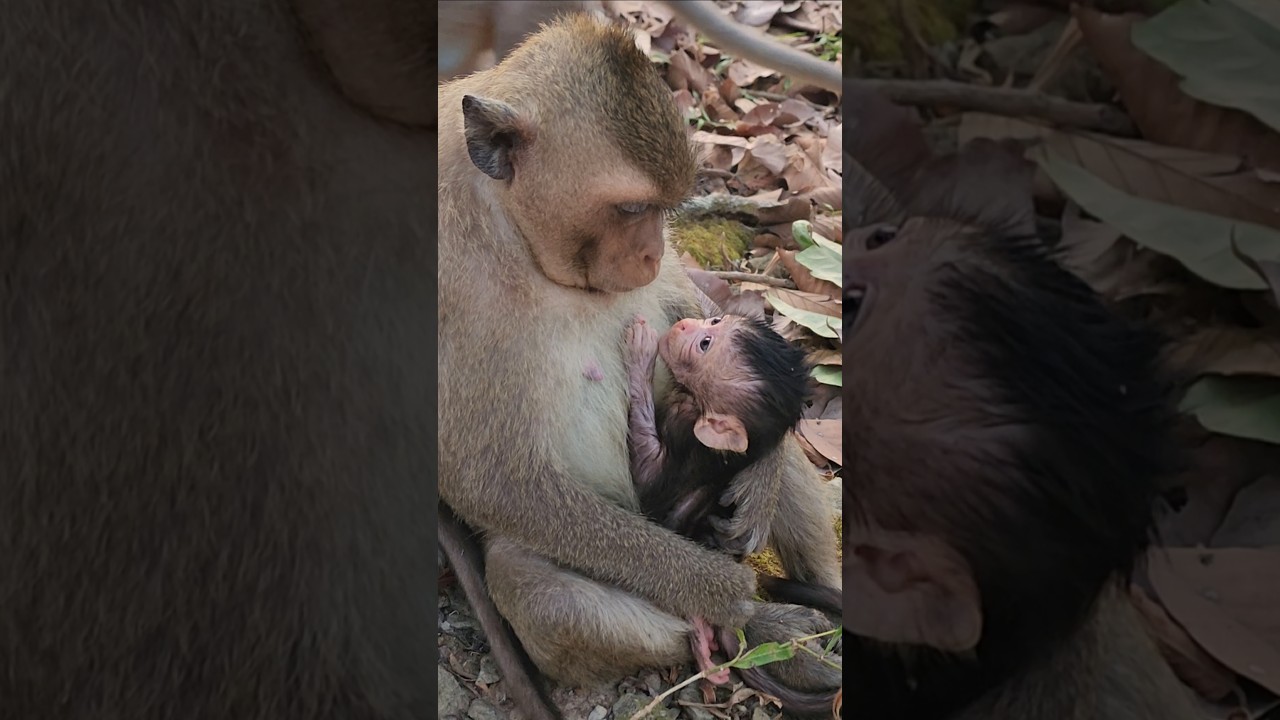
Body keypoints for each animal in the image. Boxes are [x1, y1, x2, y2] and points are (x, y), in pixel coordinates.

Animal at [437, 14, 841, 720]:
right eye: (631, 208)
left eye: (664, 209)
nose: (651, 251)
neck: (508, 224)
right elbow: (485, 477)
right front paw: (718, 589)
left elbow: (687, 300)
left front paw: (759, 486)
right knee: (537, 586)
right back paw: (748, 629)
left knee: (779, 449)